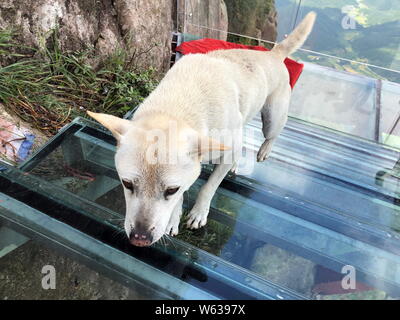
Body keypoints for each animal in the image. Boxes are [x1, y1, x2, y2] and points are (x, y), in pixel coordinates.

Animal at [87, 11, 316, 248]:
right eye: (127, 183)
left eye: (170, 189)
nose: (139, 240)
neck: (176, 106)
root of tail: (273, 54)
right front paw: (173, 219)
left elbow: (209, 187)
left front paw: (197, 213)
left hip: (272, 117)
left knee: (269, 135)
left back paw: (263, 150)